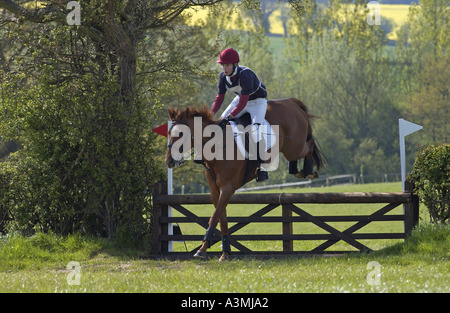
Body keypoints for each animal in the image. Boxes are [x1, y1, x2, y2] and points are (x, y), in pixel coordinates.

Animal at [163, 98, 326, 260]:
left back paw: (308, 171)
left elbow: (214, 217)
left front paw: (202, 249)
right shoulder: (216, 191)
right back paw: (297, 171)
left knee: (309, 144)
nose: (169, 161)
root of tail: (291, 102)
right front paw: (225, 252)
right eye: (169, 133)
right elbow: (222, 219)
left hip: (293, 147)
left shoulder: (227, 188)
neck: (217, 147)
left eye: (181, 134)